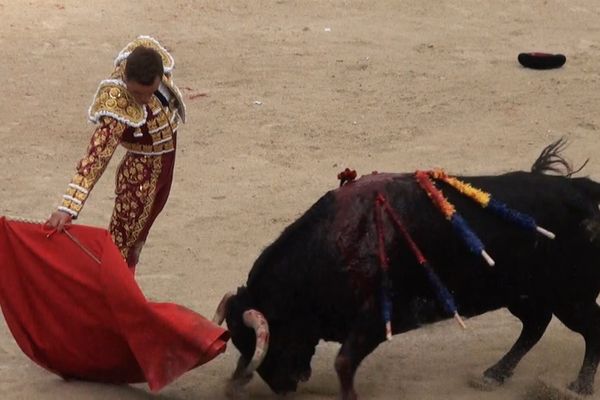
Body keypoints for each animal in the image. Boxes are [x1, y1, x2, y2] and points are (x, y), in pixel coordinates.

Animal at [213, 145, 600, 398]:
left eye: (272, 340)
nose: (284, 386)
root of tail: (580, 190)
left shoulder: (374, 318)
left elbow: (343, 362)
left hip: (571, 295)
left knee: (587, 328)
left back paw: (578, 386)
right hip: (525, 294)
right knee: (535, 325)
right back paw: (494, 374)